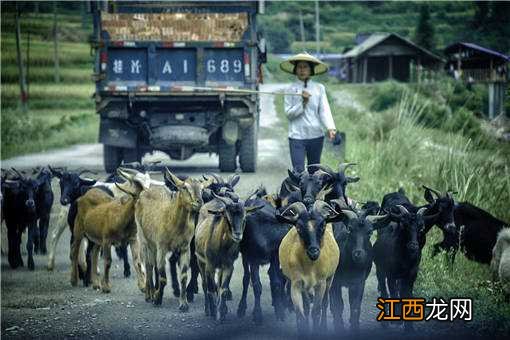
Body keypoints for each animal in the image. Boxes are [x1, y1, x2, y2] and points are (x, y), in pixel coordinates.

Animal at [135, 169, 211, 310]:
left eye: (202, 189)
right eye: (184, 187)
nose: (199, 202)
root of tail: (145, 191)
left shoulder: (185, 248)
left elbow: (184, 276)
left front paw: (184, 304)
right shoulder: (161, 246)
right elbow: (163, 277)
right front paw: (157, 300)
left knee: (151, 264)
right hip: (144, 239)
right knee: (148, 265)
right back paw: (149, 294)